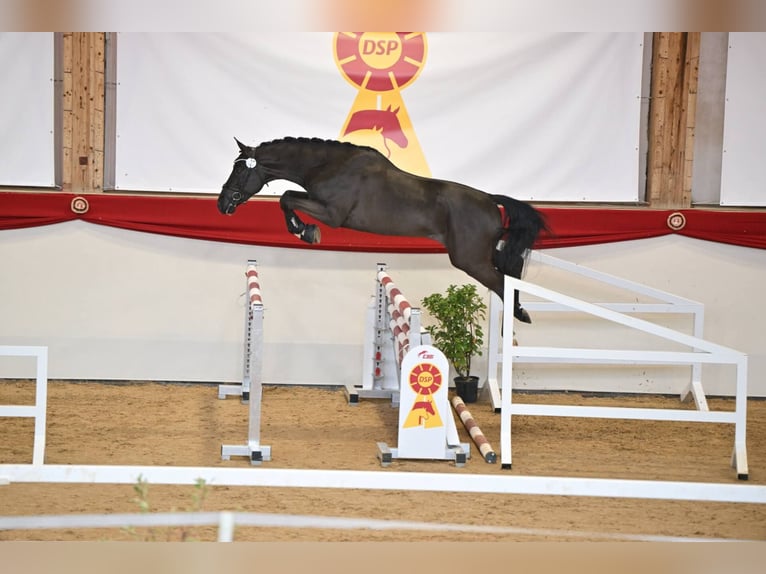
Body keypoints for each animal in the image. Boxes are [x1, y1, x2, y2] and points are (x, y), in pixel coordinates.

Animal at [219, 136, 548, 324]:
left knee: (503, 282)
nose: (222, 204)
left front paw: (306, 232)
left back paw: (516, 322)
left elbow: (286, 198)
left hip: (470, 260)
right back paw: (519, 317)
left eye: (239, 168)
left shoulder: (332, 214)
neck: (329, 165)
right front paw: (304, 230)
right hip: (479, 254)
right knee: (511, 270)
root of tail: (491, 200)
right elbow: (288, 197)